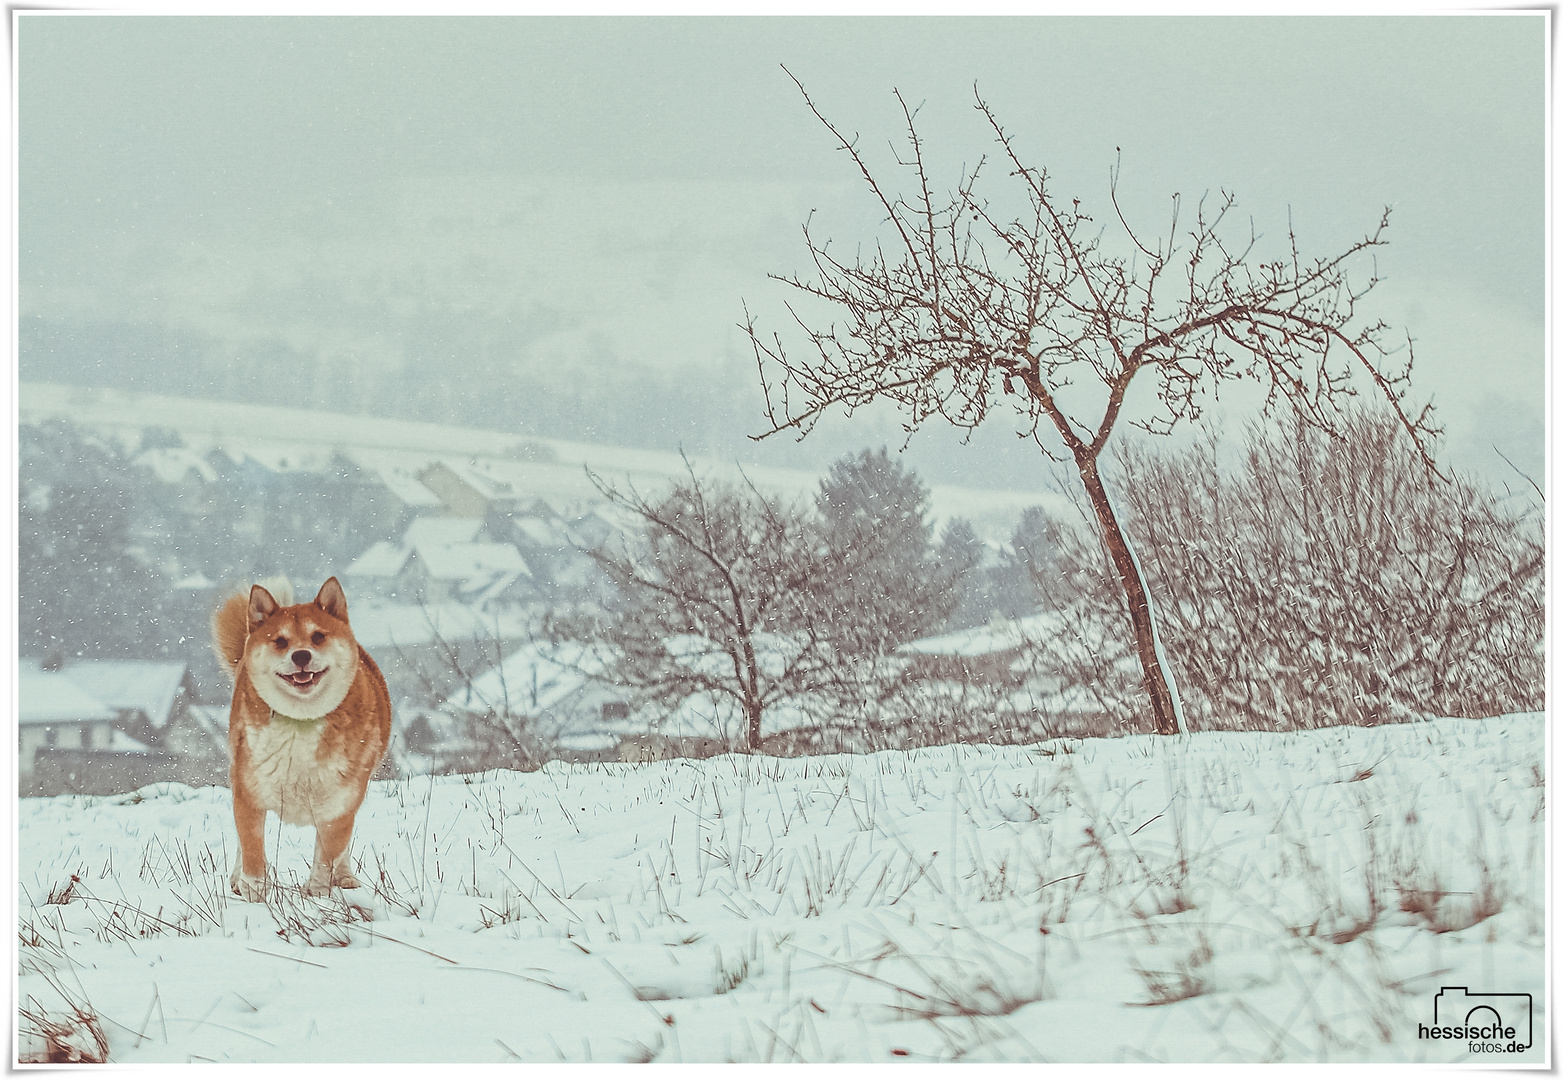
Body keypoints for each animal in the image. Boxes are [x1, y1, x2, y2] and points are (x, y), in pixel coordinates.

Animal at [211, 578, 390, 900]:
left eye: (318, 636)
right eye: (280, 641)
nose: (301, 655)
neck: (301, 721)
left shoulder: (340, 806)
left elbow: (327, 856)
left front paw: (317, 893)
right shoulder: (249, 794)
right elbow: (252, 852)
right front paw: (254, 895)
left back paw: (345, 877)